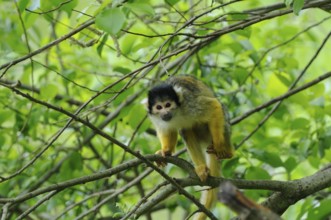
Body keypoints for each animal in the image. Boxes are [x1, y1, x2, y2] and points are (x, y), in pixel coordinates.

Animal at [145, 75, 233, 219]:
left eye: (168, 104)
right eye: (159, 107)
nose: (165, 112)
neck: (177, 113)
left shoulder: (189, 104)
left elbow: (214, 106)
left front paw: (219, 146)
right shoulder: (158, 118)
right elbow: (167, 129)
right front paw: (165, 151)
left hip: (221, 124)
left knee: (219, 110)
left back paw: (227, 152)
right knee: (186, 130)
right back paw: (202, 168)